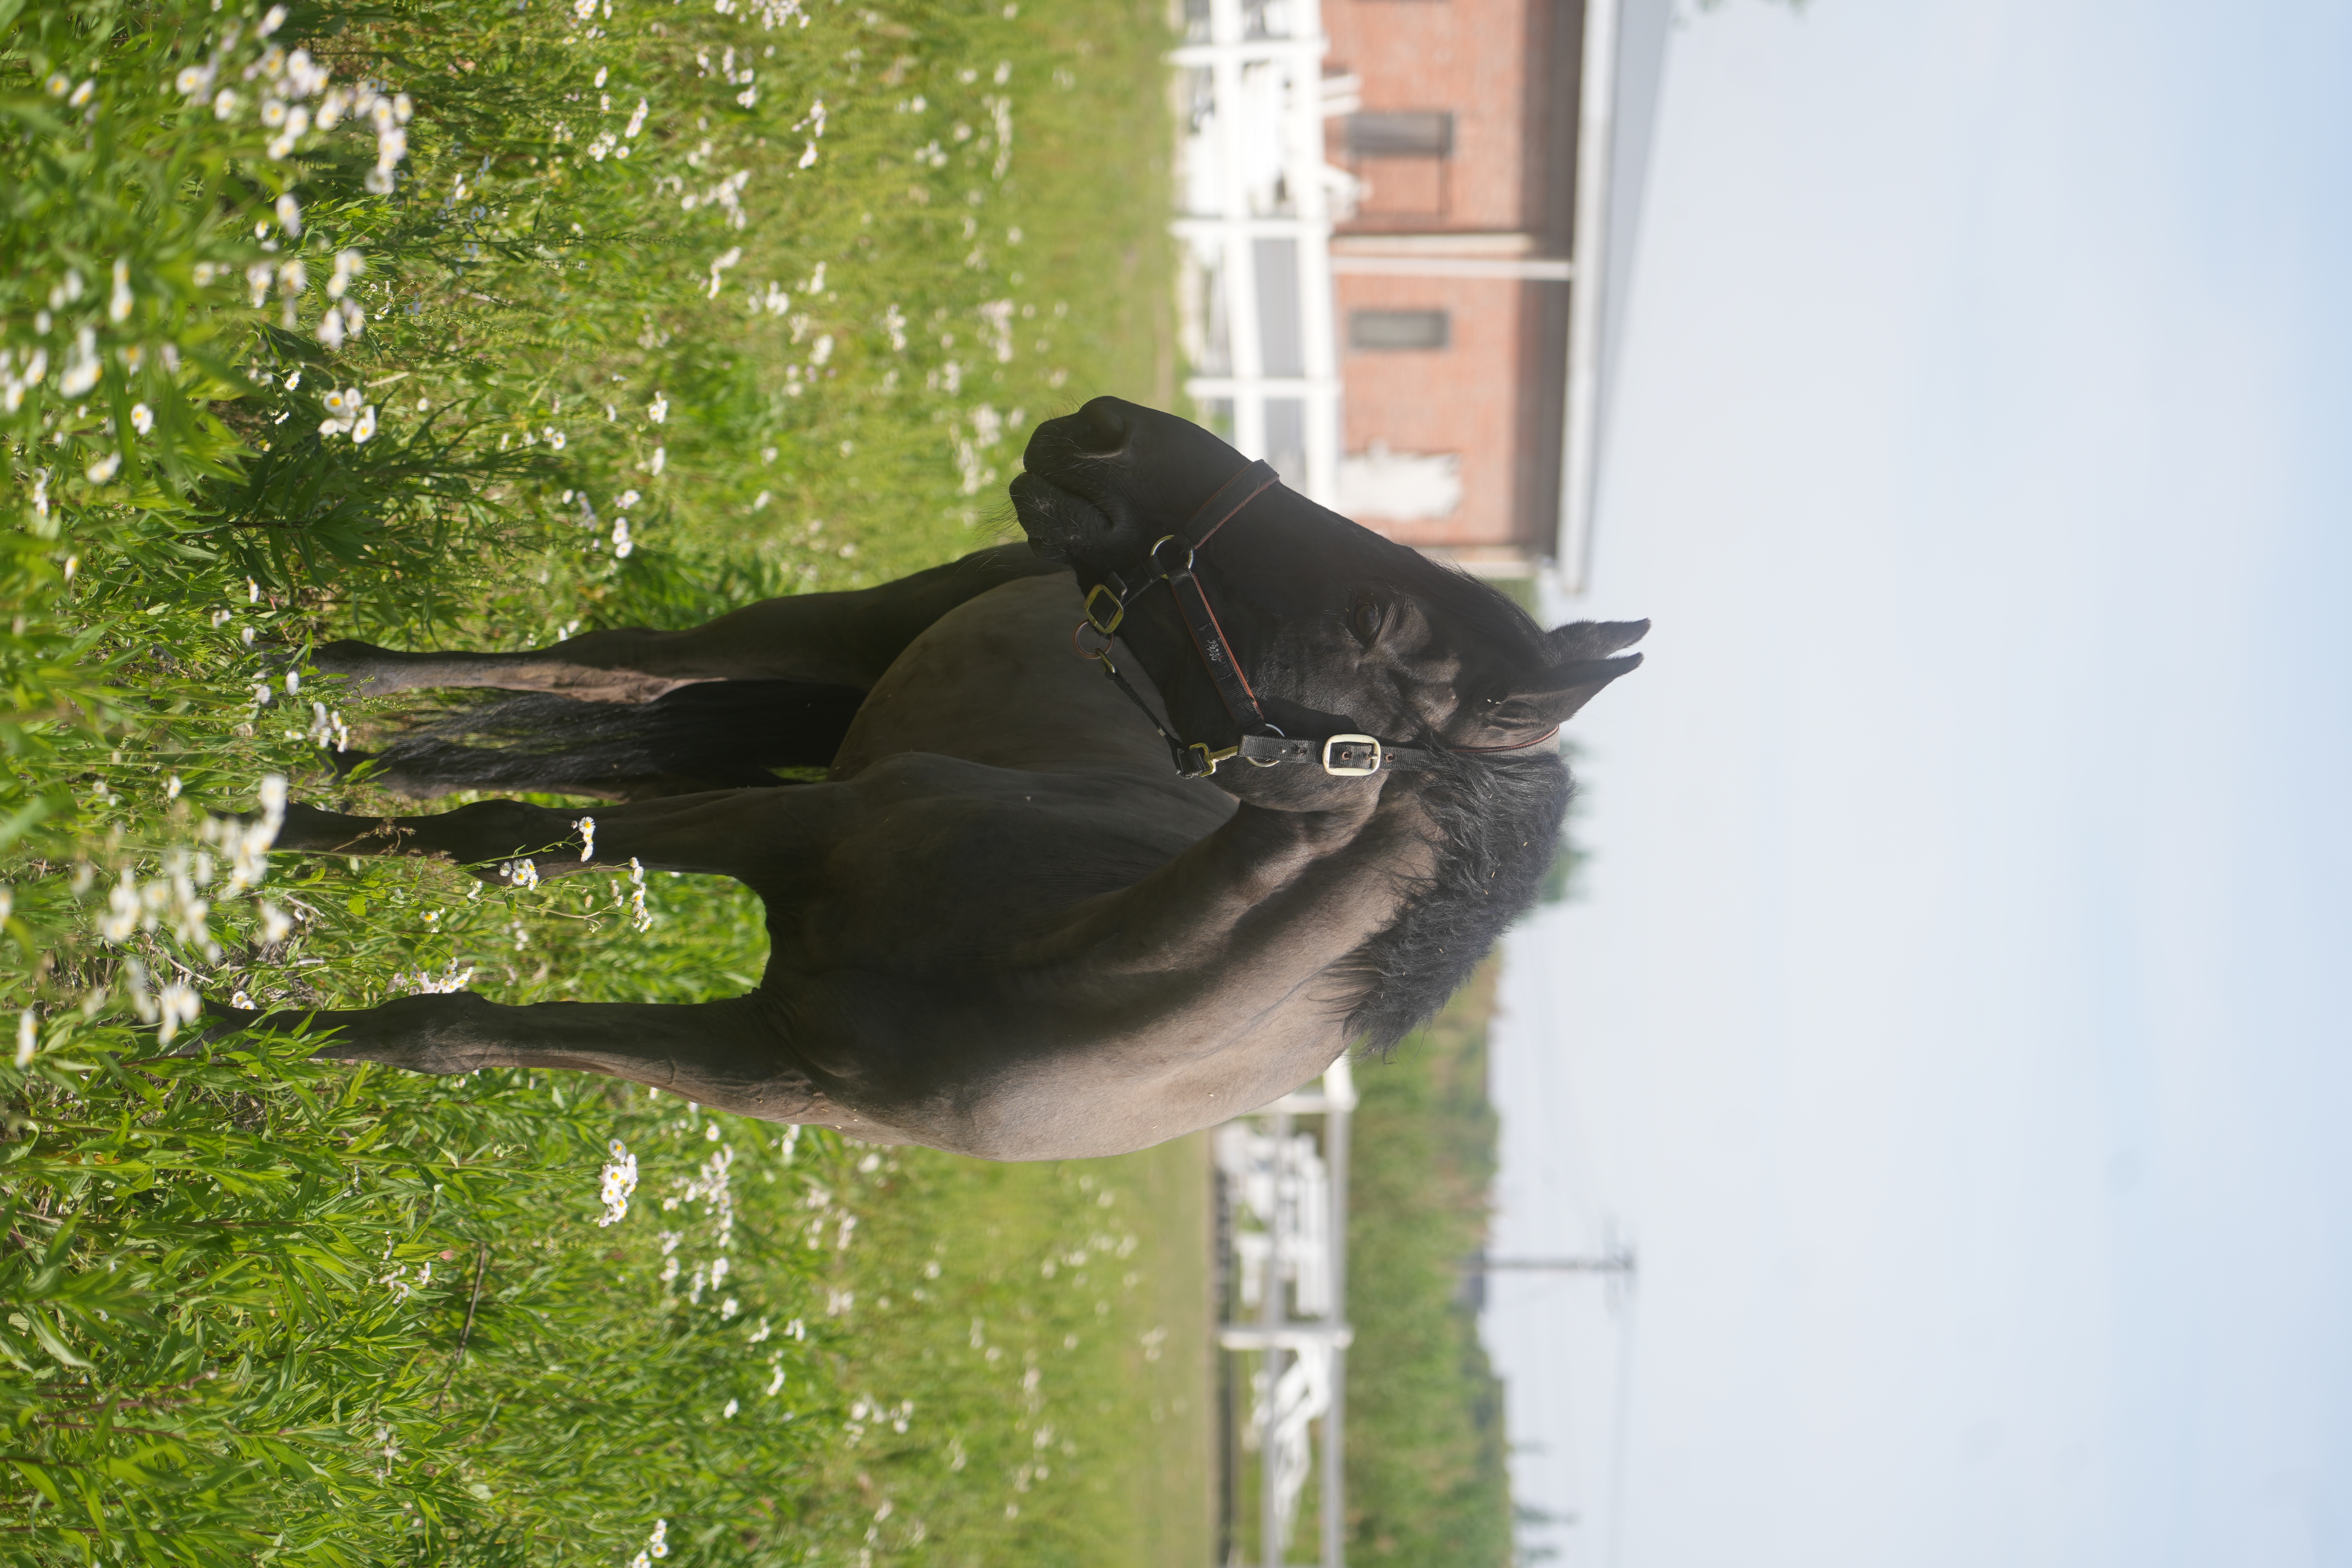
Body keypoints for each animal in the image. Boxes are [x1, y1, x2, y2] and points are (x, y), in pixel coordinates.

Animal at [239, 398, 1645, 1160]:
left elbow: (455, 1029)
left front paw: (237, 1031)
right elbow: (496, 839)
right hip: (852, 628)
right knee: (613, 668)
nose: (1107, 434)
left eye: (1374, 617)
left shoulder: (756, 1059)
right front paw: (248, 895)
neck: (1047, 974)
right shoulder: (784, 828)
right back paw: (316, 673)